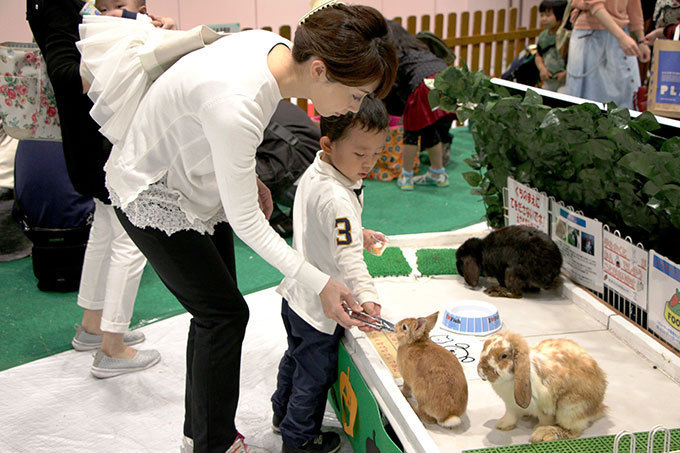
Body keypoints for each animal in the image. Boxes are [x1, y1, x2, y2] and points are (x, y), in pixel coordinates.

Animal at [476, 330, 608, 440]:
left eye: (503, 356)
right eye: (483, 347)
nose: (481, 371)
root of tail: (598, 408)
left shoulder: (544, 407)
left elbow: (545, 419)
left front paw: (538, 428)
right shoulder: (511, 406)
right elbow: (510, 417)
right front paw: (501, 425)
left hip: (570, 409)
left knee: (571, 431)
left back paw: (543, 434)